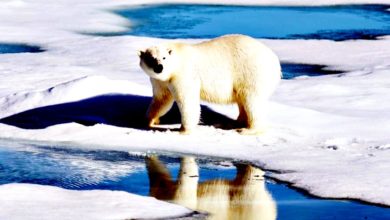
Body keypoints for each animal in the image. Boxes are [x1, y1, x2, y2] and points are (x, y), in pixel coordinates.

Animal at [137, 34, 280, 134]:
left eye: (164, 57)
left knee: (252, 100)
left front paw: (184, 130)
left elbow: (187, 100)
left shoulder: (184, 74)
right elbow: (161, 100)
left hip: (250, 72)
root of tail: (274, 59)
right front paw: (149, 121)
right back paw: (234, 123)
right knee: (242, 100)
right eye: (151, 58)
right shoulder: (161, 81)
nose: (159, 67)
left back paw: (248, 129)